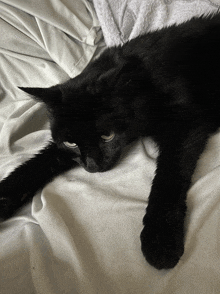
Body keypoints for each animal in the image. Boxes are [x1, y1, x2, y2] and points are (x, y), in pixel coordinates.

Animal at [0, 14, 220, 268]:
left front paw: (160, 239)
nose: (92, 167)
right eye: (71, 143)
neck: (141, 83)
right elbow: (36, 164)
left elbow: (168, 178)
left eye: (107, 136)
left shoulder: (185, 124)